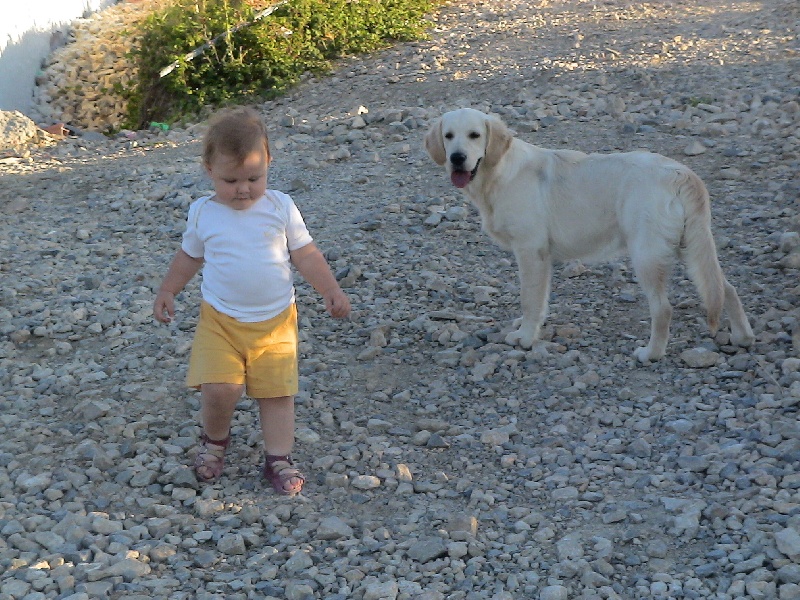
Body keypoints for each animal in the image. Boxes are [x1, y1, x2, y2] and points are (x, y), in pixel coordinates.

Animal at [424, 108, 756, 360]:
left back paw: (651, 353)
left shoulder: (531, 251)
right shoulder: (540, 257)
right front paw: (529, 327)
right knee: (725, 287)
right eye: (449, 136)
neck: (499, 171)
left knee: (663, 309)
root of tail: (681, 173)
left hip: (646, 255)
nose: (456, 157)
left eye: (475, 135)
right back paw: (743, 337)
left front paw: (525, 337)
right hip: (690, 246)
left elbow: (530, 299)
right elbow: (538, 301)